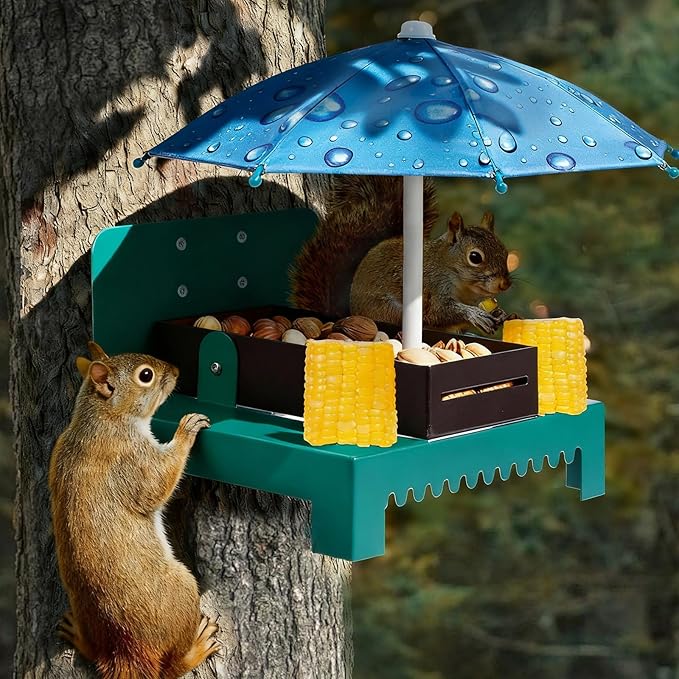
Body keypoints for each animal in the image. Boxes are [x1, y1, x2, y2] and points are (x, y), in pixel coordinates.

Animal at [49, 341, 221, 679]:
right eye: (146, 376)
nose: (177, 370)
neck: (101, 418)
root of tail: (128, 651)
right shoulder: (132, 460)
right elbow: (158, 482)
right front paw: (186, 431)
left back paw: (79, 637)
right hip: (182, 592)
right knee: (171, 668)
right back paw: (196, 649)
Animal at [290, 175, 511, 334]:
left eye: (505, 251)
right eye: (475, 257)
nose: (505, 284)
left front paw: (500, 314)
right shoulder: (432, 288)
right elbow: (438, 313)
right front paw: (474, 315)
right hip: (390, 312)